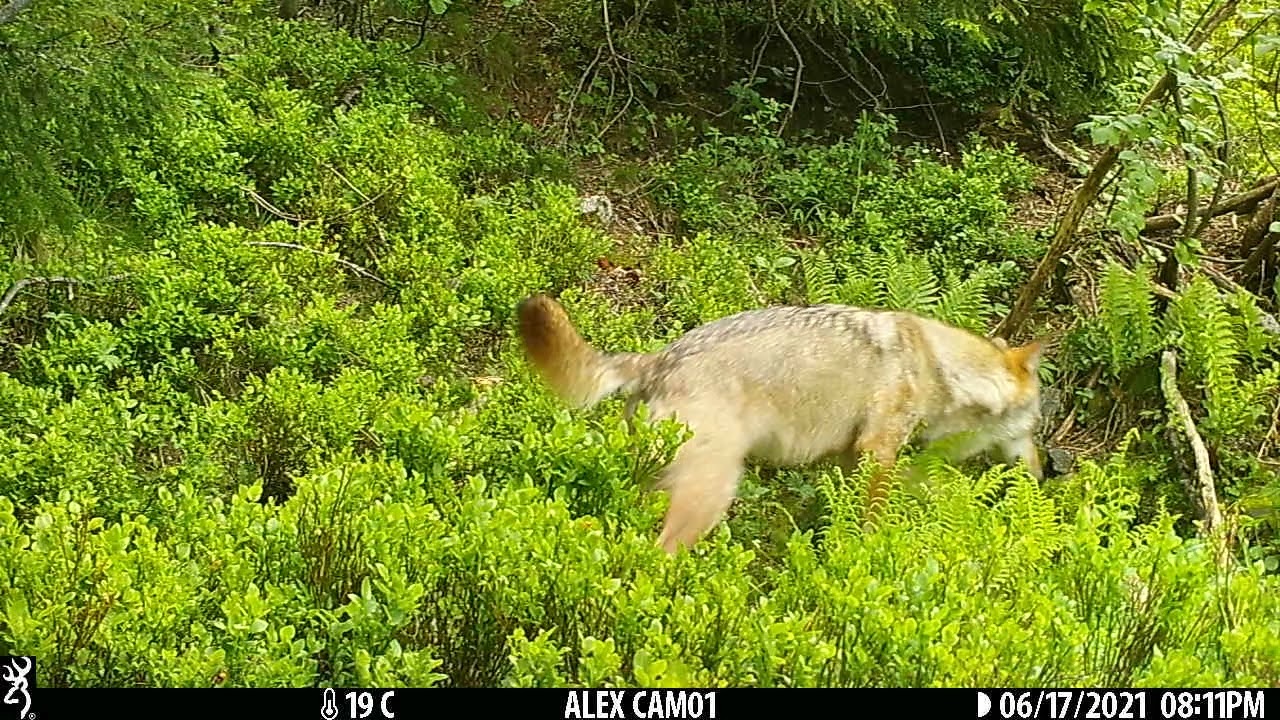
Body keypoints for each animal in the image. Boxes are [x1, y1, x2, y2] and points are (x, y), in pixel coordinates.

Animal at [516, 294, 1045, 554]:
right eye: (1035, 425)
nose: (1046, 473)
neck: (939, 366)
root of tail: (659, 360)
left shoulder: (855, 458)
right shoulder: (878, 452)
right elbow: (876, 517)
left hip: (651, 489)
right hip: (712, 493)